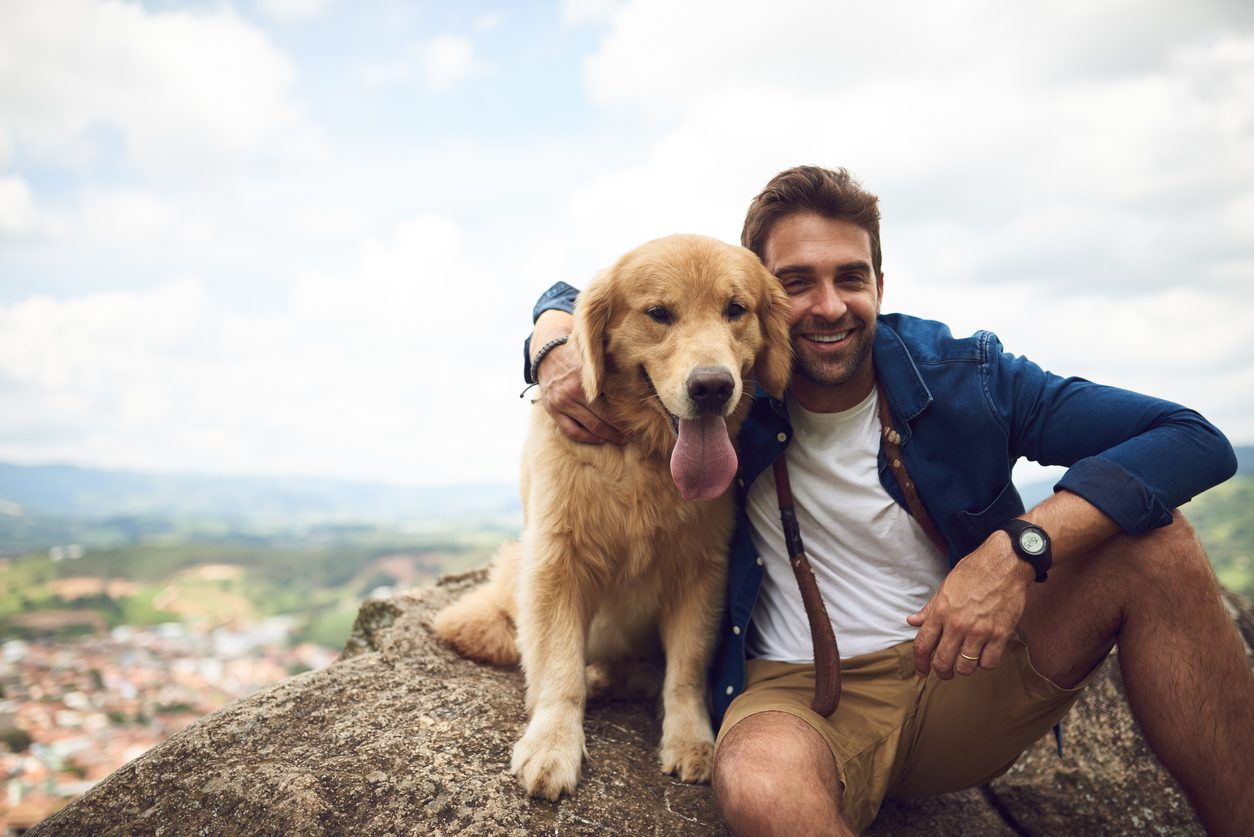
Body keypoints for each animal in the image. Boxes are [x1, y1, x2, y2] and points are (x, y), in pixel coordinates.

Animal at [431, 234, 782, 798]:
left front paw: (691, 740)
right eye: (658, 313)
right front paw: (553, 744)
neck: (643, 453)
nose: (712, 387)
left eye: (735, 310)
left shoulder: (702, 569)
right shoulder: (556, 560)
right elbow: (558, 668)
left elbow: (686, 670)